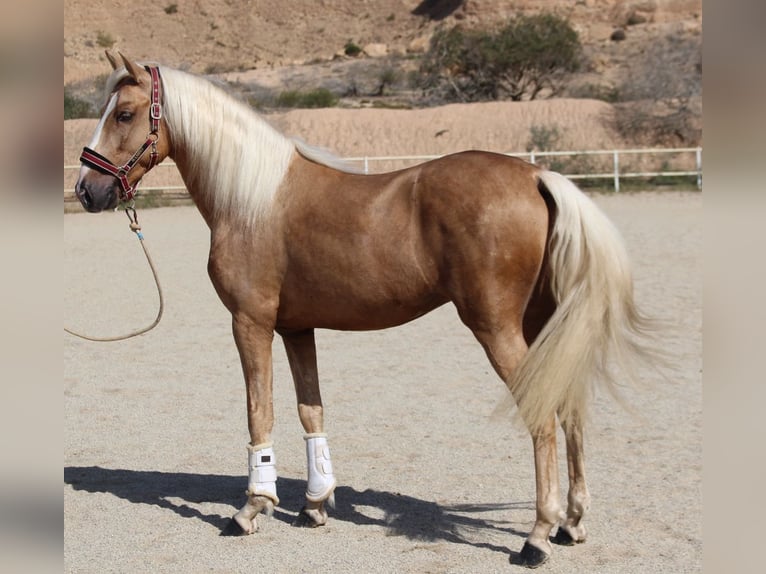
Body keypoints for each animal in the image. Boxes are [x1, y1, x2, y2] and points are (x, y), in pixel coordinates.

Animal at [75, 53, 656, 568]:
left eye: (124, 114)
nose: (87, 190)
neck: (252, 199)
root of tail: (535, 177)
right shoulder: (296, 328)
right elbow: (311, 410)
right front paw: (314, 504)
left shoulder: (251, 323)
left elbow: (260, 411)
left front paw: (251, 508)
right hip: (544, 325)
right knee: (571, 407)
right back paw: (571, 523)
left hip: (496, 327)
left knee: (542, 415)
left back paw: (536, 537)